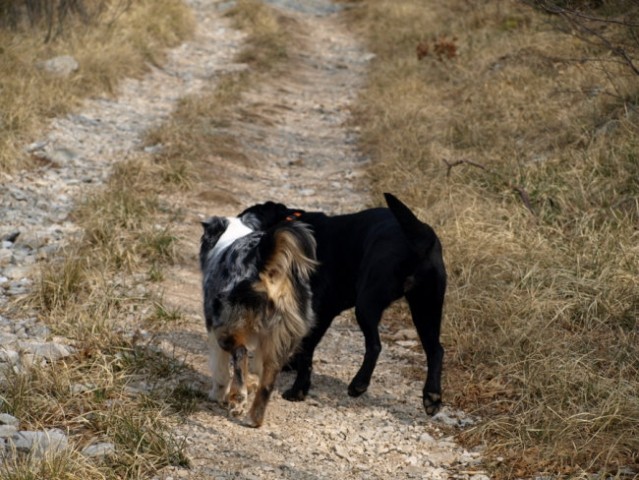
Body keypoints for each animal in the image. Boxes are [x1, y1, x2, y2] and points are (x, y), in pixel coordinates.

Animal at [238, 193, 448, 414]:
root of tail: (423, 237)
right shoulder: (325, 314)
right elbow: (305, 346)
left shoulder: (318, 312)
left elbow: (306, 351)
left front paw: (297, 391)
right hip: (426, 310)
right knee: (436, 351)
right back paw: (432, 396)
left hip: (367, 304)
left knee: (375, 345)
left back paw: (359, 384)